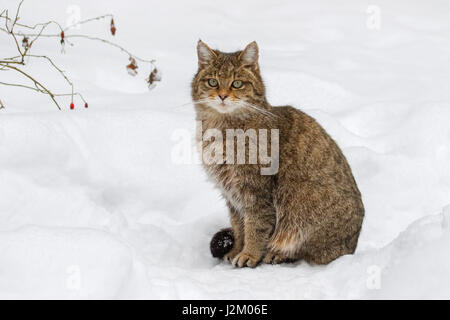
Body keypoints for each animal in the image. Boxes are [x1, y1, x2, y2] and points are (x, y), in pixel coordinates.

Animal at [192, 40, 364, 268]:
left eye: (237, 83)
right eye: (212, 82)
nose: (222, 95)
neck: (222, 129)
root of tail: (353, 246)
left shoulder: (256, 192)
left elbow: (255, 227)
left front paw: (249, 254)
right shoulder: (232, 195)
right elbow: (239, 227)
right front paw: (237, 249)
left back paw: (278, 253)